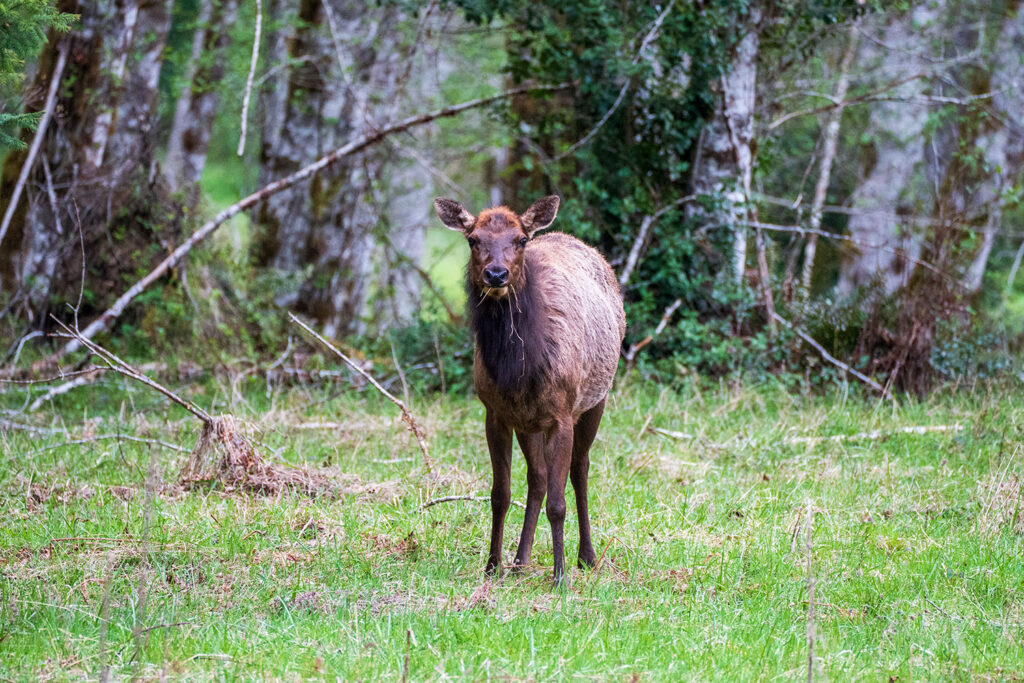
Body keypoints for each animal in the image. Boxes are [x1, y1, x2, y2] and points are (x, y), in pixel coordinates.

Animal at [434, 195, 626, 585]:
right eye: (472, 239)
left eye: (521, 239)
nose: (496, 274)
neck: (518, 369)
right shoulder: (496, 413)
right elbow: (501, 494)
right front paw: (492, 565)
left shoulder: (563, 413)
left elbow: (558, 502)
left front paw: (560, 576)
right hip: (529, 423)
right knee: (537, 479)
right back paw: (520, 560)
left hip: (596, 400)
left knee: (580, 470)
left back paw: (586, 556)